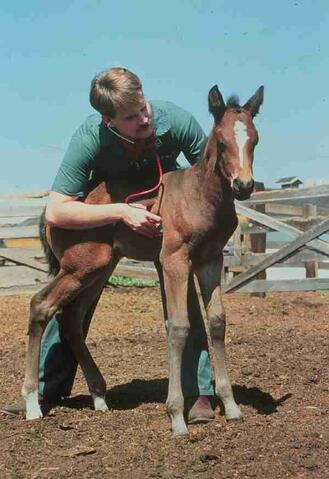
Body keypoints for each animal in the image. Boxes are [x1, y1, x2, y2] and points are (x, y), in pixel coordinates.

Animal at [21, 84, 262, 436]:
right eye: (221, 141)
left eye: (254, 139)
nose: (243, 186)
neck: (200, 196)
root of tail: (50, 214)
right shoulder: (175, 260)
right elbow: (179, 326)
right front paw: (176, 417)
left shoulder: (211, 259)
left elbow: (216, 321)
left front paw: (230, 405)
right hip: (80, 267)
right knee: (41, 305)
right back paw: (31, 404)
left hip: (100, 269)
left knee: (72, 320)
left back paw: (99, 396)